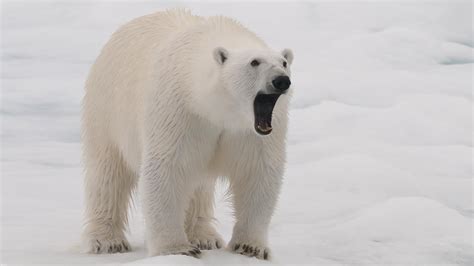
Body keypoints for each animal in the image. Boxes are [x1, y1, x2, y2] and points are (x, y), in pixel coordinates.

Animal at [82, 8, 292, 260]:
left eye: (284, 62)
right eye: (254, 62)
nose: (281, 80)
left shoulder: (252, 133)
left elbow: (257, 172)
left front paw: (251, 247)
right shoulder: (179, 111)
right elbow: (168, 168)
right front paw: (176, 249)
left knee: (199, 186)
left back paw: (204, 236)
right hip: (107, 110)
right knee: (108, 173)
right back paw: (107, 241)